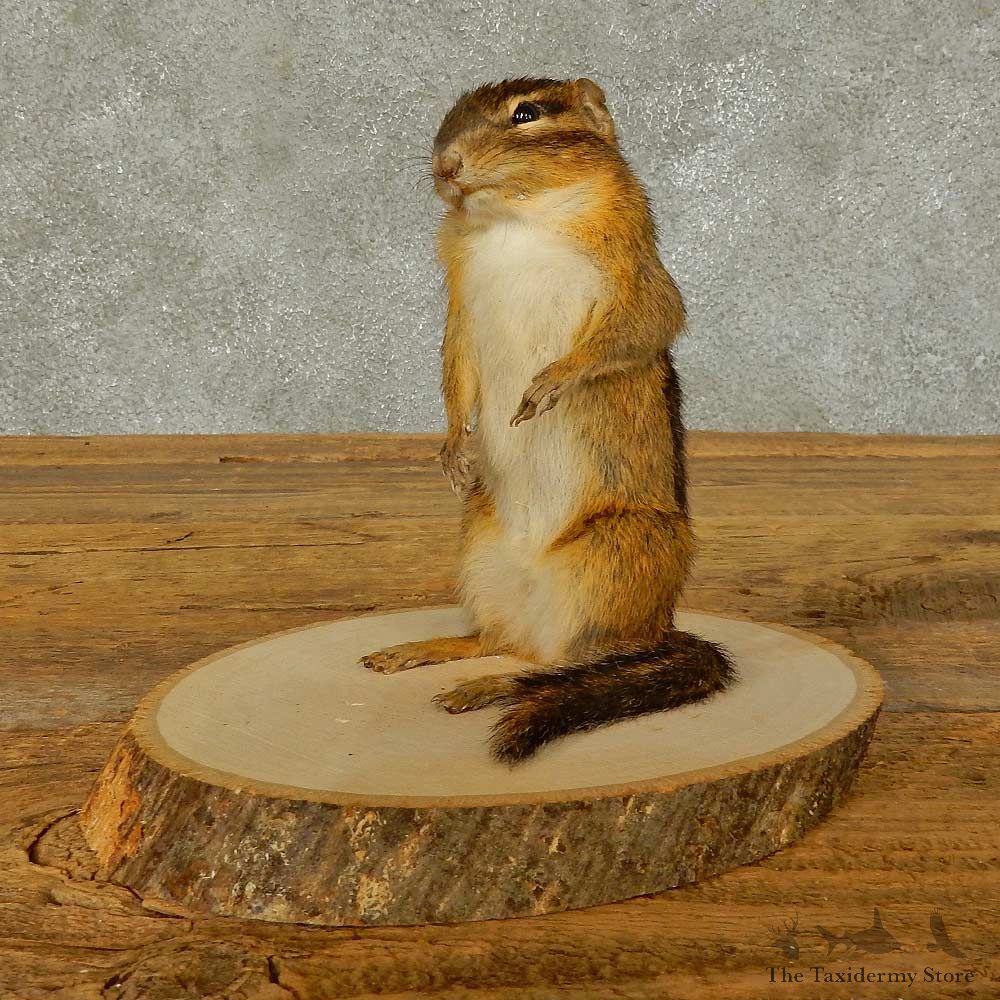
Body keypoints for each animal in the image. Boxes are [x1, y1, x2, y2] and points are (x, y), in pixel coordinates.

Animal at [360, 77, 735, 764]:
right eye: (448, 116)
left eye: (527, 113)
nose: (445, 165)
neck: (518, 222)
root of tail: (662, 627)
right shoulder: (459, 311)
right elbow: (455, 374)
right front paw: (454, 453)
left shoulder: (640, 280)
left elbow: (637, 328)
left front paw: (547, 386)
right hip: (479, 560)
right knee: (505, 646)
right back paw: (420, 654)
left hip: (612, 563)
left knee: (565, 668)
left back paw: (482, 689)